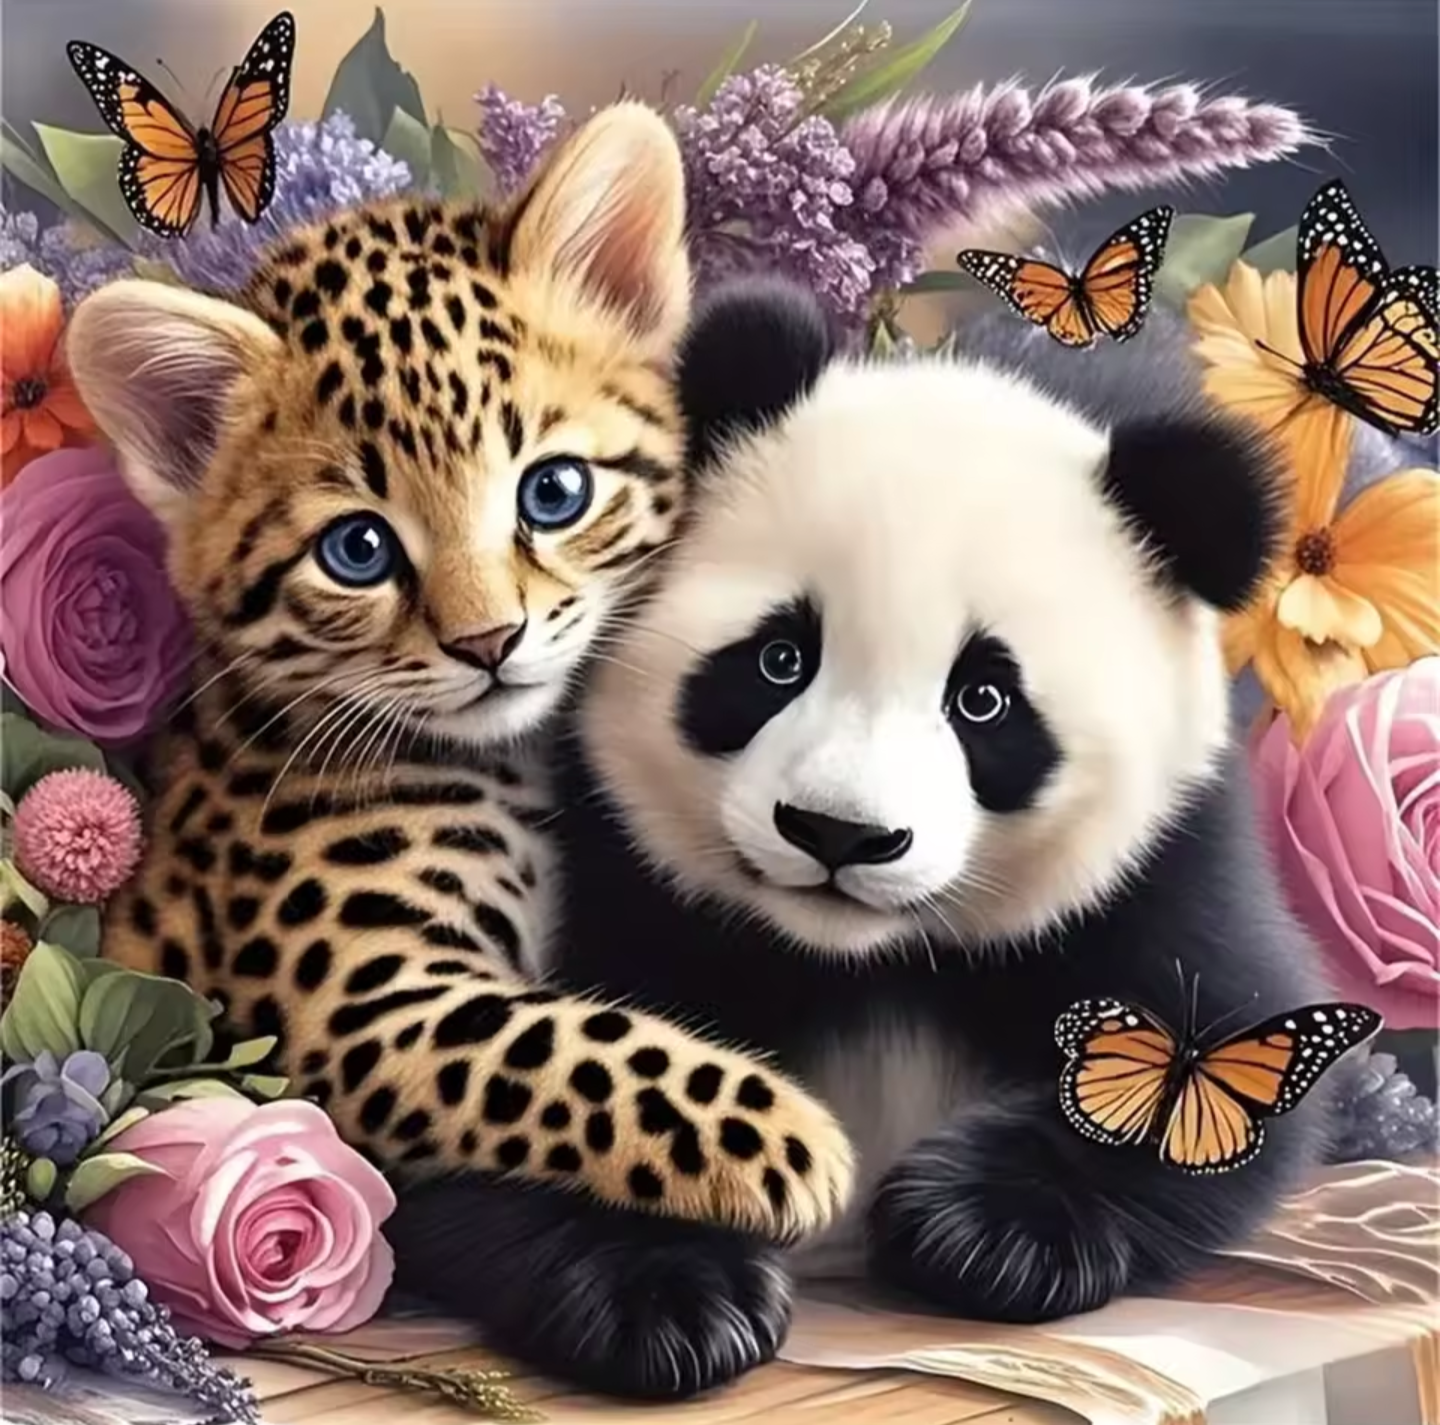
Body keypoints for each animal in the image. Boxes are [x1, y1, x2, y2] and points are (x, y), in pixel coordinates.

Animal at [66, 103, 853, 1243]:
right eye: (357, 550)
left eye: (554, 492)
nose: (489, 642)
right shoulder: (361, 1008)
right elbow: (580, 1052)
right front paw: (787, 1139)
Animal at [386, 280, 1333, 1400]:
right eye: (779, 658)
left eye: (983, 700)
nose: (838, 833)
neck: (862, 960)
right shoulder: (596, 860)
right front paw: (671, 1299)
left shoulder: (1166, 862)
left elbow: (1217, 1058)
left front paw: (975, 1229)